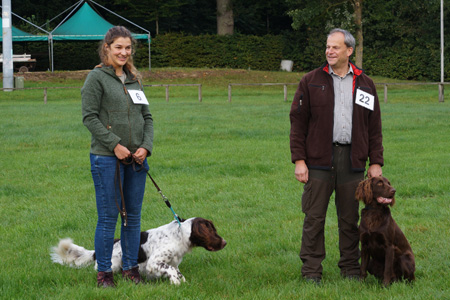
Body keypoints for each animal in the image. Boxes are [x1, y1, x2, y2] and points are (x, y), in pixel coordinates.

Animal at [50, 217, 227, 284]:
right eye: (213, 231)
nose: (225, 242)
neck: (179, 234)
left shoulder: (174, 263)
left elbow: (177, 272)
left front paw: (180, 282)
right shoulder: (154, 262)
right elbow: (170, 271)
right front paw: (175, 283)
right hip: (114, 264)